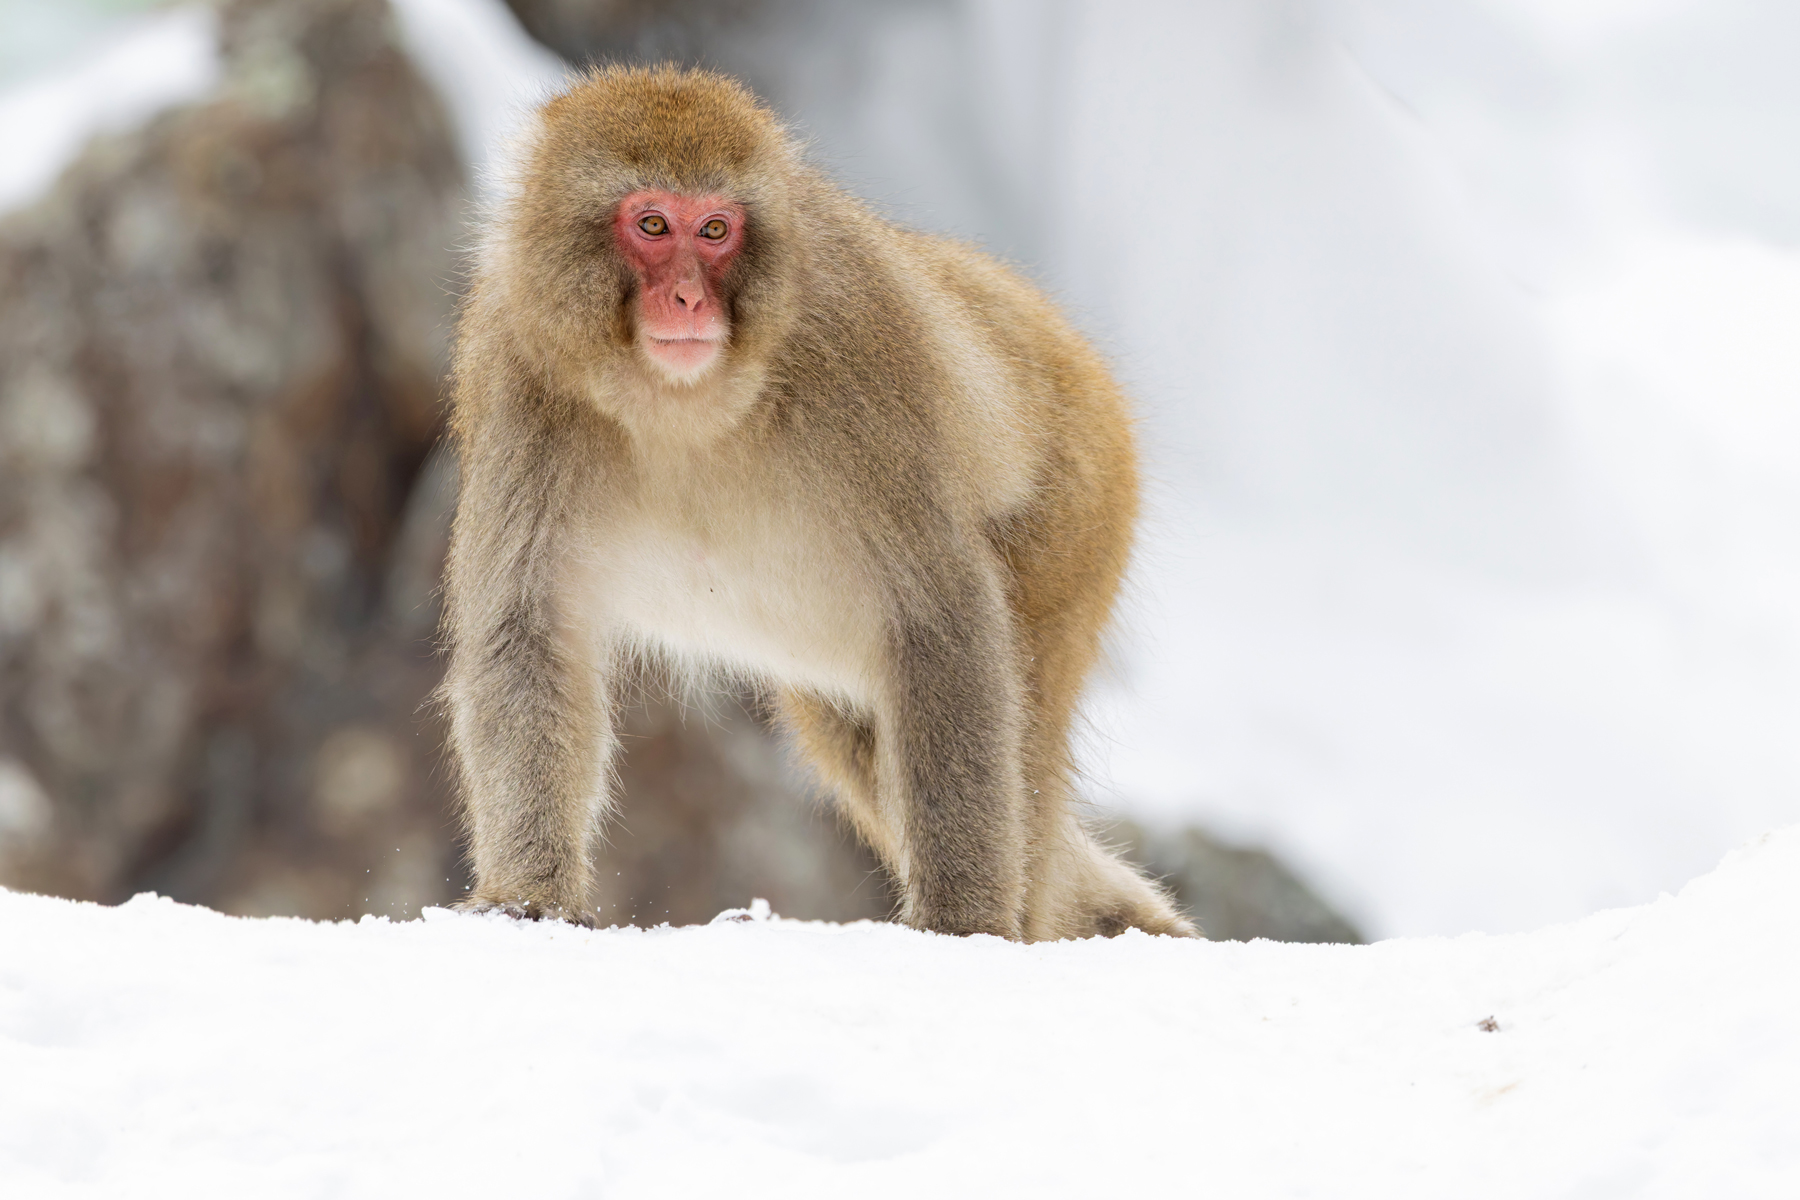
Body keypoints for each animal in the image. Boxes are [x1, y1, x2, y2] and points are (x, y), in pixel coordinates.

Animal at [440, 65, 1194, 941]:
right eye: (653, 224)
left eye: (717, 230)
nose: (689, 299)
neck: (684, 404)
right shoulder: (519, 372)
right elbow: (527, 633)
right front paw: (529, 896)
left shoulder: (862, 358)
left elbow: (942, 616)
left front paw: (960, 921)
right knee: (861, 744)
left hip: (1076, 512)